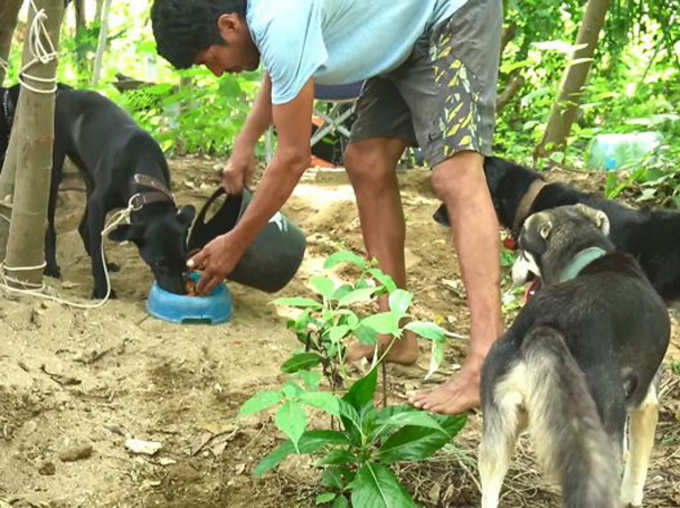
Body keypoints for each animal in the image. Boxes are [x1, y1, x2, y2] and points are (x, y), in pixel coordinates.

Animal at [478, 204, 668, 508]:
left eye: (521, 250)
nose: (512, 273)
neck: (586, 256)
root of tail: (545, 329)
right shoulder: (646, 403)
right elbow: (636, 472)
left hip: (499, 434)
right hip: (600, 443)